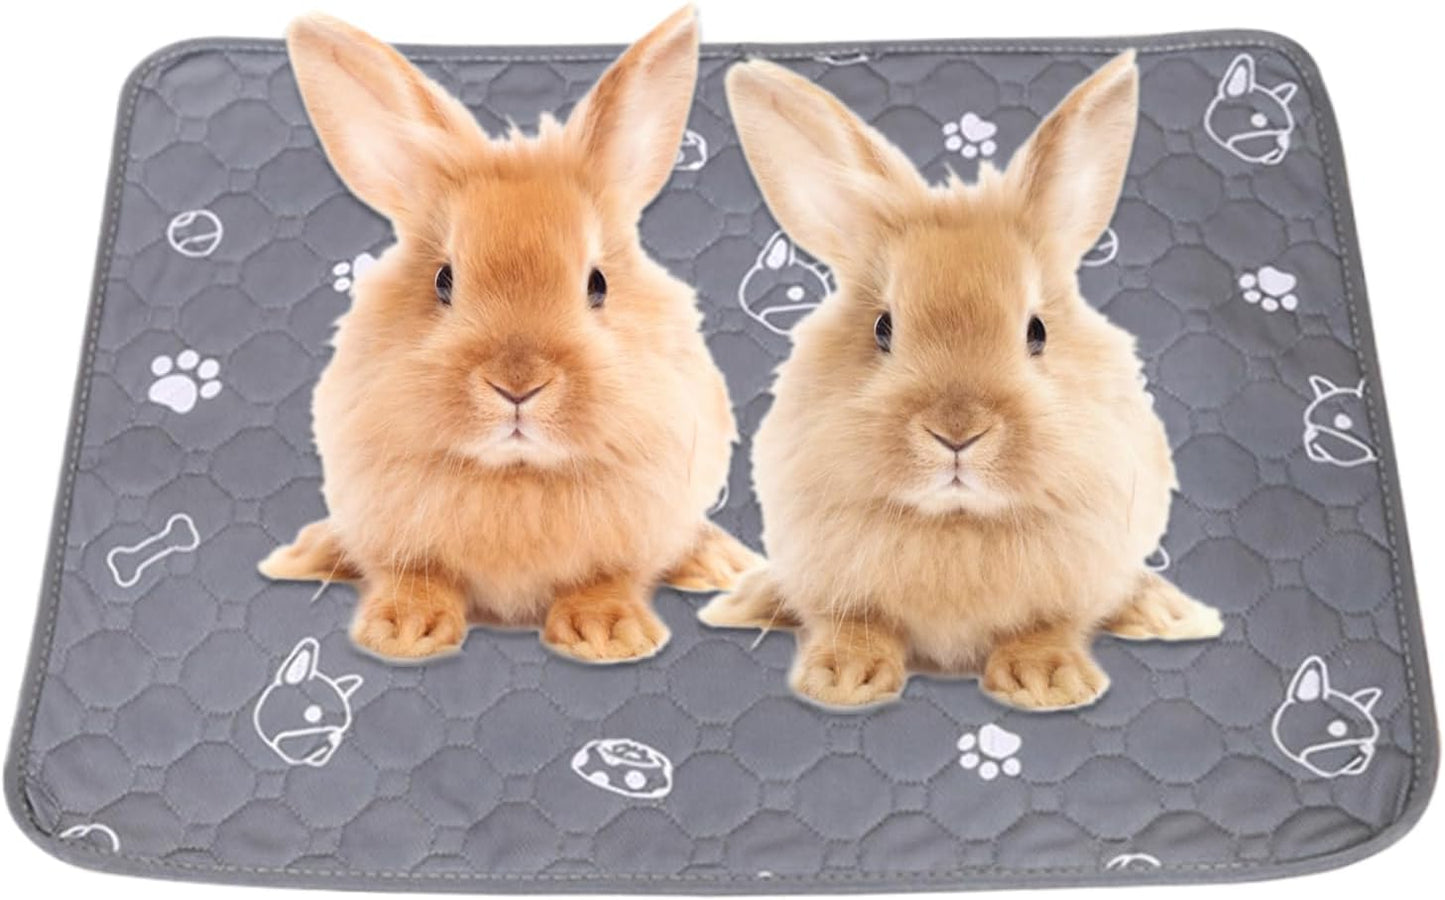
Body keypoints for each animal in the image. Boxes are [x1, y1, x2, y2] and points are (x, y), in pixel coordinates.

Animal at [259, 7, 759, 665]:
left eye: (598, 283)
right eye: (444, 280)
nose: (518, 384)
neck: (516, 475)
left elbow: (607, 577)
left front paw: (606, 635)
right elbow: (415, 575)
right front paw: (403, 631)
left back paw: (718, 563)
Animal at [702, 52, 1223, 712]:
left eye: (1037, 331)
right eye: (883, 327)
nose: (956, 432)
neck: (956, 523)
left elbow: (1046, 625)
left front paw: (1045, 682)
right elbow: (858, 623)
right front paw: (844, 679)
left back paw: (1166, 612)